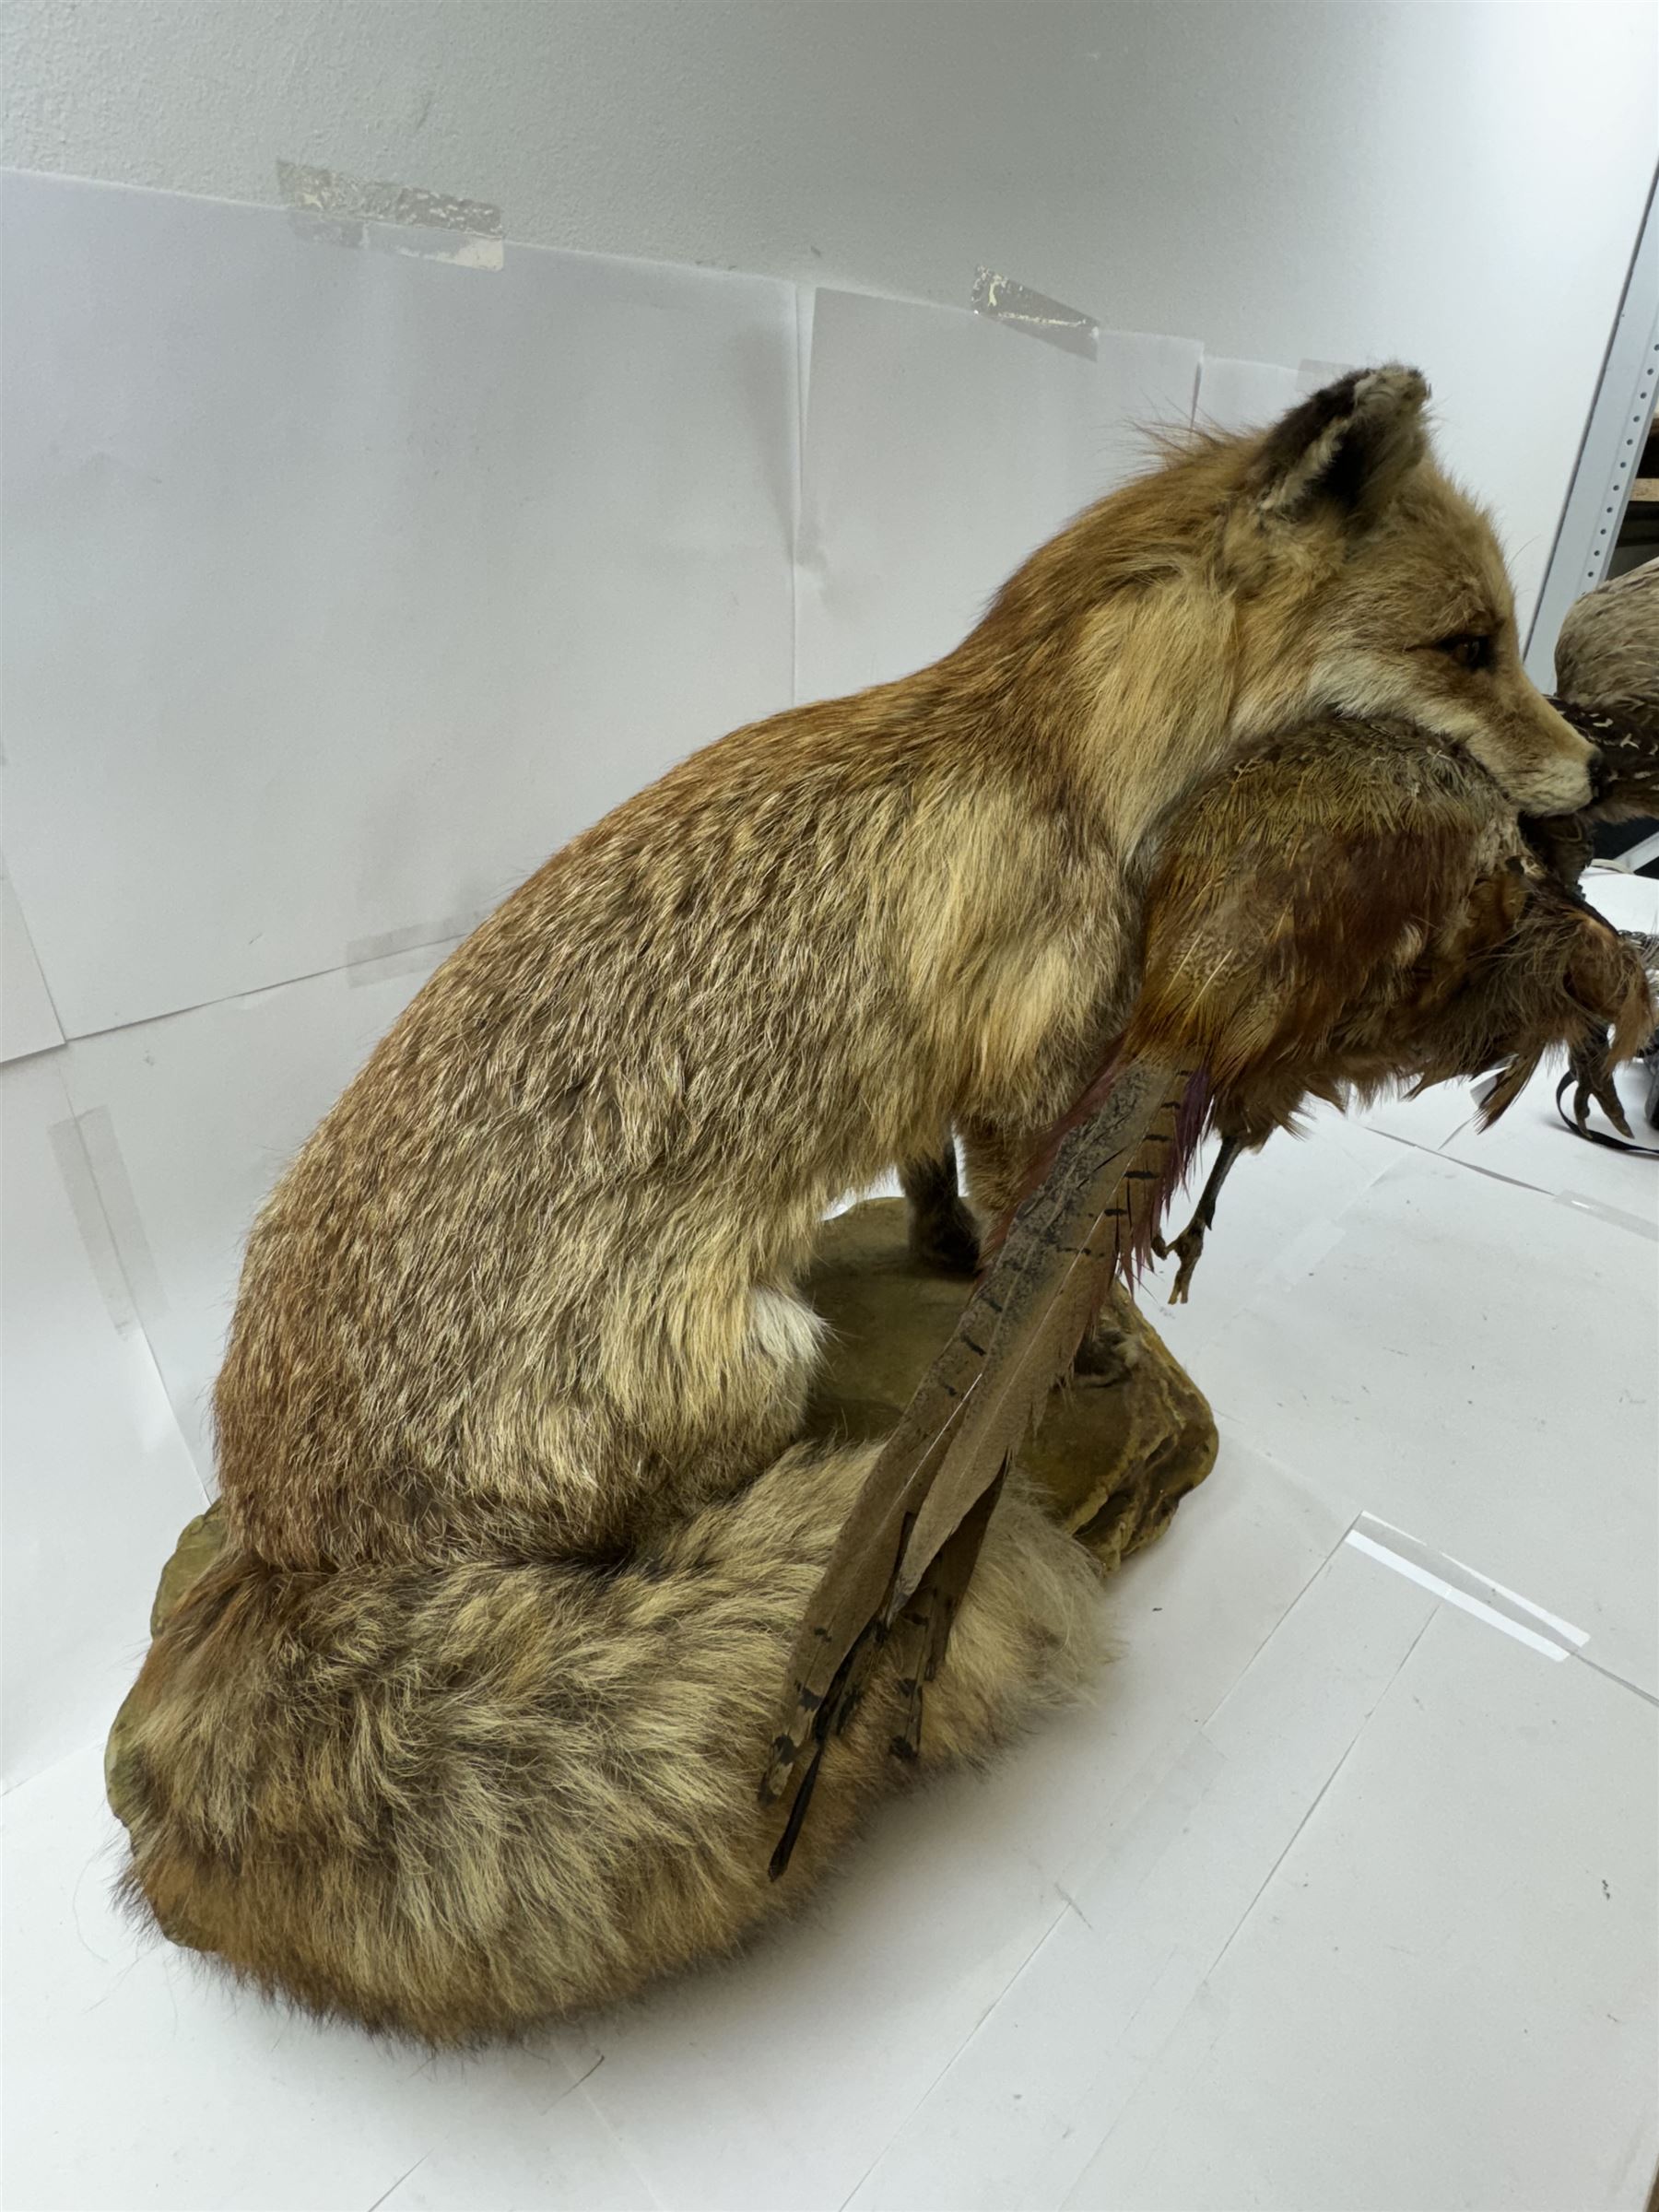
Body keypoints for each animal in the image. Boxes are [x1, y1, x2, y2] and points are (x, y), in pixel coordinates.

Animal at [109, 367, 1600, 2043]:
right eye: (1468, 645)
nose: (1605, 787)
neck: (1059, 755)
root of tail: (274, 1547)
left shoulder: (954, 1079)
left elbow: (940, 1188)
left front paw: (947, 1259)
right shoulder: (1043, 1058)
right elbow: (1051, 1244)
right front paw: (1084, 1354)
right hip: (754, 1355)